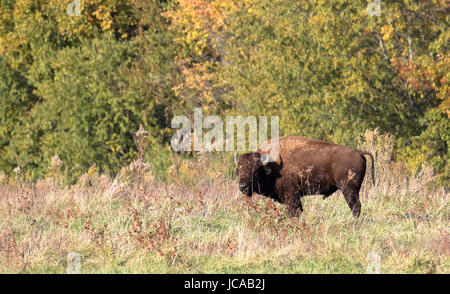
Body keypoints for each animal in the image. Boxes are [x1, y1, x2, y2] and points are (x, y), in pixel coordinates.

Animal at [234, 136, 374, 218]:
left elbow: (294, 213)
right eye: (239, 170)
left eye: (256, 170)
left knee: (356, 207)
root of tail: (358, 152)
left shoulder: (291, 196)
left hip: (348, 190)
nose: (243, 186)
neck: (271, 165)